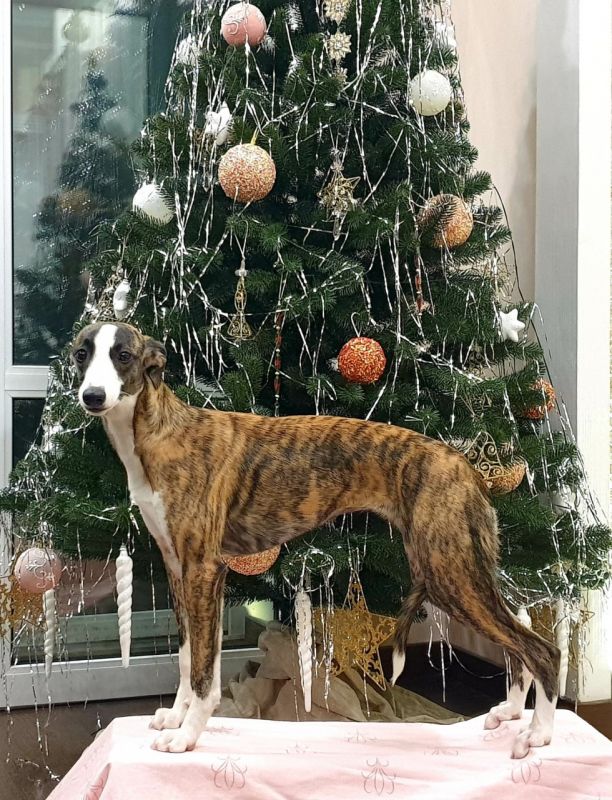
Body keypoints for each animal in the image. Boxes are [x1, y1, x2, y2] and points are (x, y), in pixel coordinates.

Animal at [72, 321, 559, 757]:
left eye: (123, 355)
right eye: (81, 354)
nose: (91, 397)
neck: (160, 431)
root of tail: (466, 466)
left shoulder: (204, 570)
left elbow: (205, 670)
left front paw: (187, 735)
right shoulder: (177, 568)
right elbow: (188, 655)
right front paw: (175, 717)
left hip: (450, 573)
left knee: (542, 649)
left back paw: (539, 734)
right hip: (457, 569)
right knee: (517, 646)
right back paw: (512, 712)